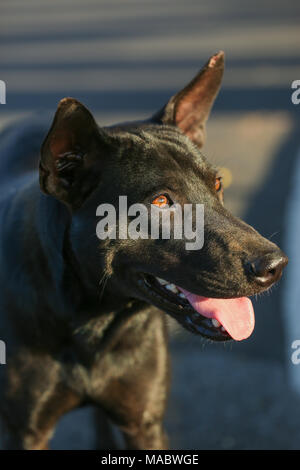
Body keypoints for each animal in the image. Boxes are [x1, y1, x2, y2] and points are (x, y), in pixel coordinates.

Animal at [0, 50, 288, 448]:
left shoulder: (144, 423)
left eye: (217, 184)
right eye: (161, 202)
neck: (94, 321)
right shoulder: (25, 432)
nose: (275, 265)